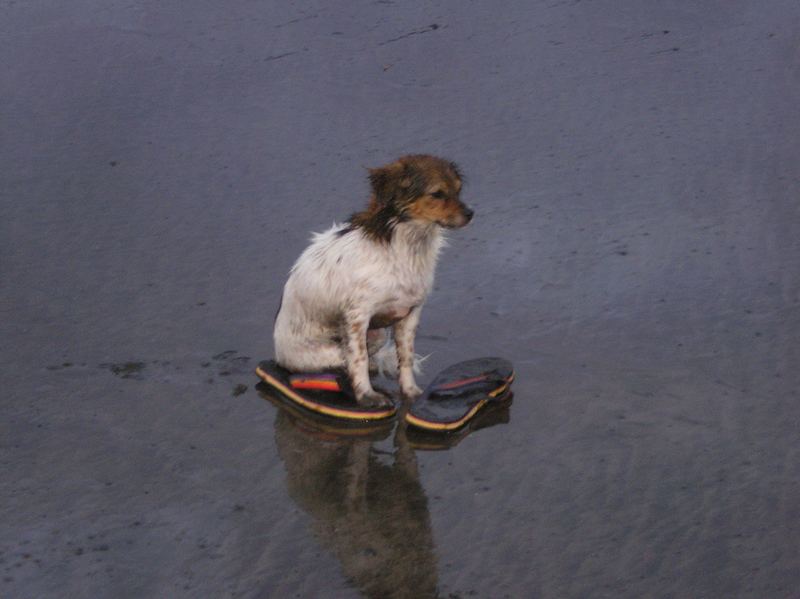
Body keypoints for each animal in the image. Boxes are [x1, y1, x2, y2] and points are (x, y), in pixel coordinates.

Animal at [276, 155, 476, 408]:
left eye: (458, 190)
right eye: (437, 193)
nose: (471, 214)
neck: (406, 246)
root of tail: (278, 352)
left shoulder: (411, 313)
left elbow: (406, 356)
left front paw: (410, 391)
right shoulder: (356, 317)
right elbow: (358, 359)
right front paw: (366, 395)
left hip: (378, 334)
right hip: (327, 352)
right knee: (341, 362)